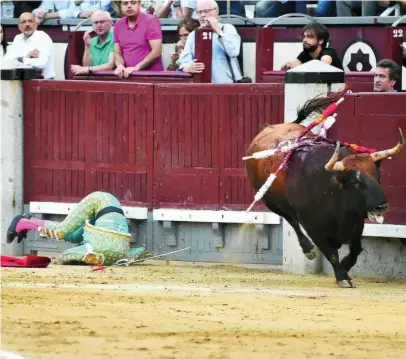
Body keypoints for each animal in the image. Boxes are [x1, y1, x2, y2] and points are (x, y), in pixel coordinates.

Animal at [246, 91, 404, 288]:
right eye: (357, 181)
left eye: (377, 175)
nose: (382, 206)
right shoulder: (313, 227)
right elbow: (331, 253)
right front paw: (342, 276)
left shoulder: (357, 221)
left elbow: (356, 249)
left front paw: (345, 266)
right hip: (270, 202)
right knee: (291, 219)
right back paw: (308, 250)